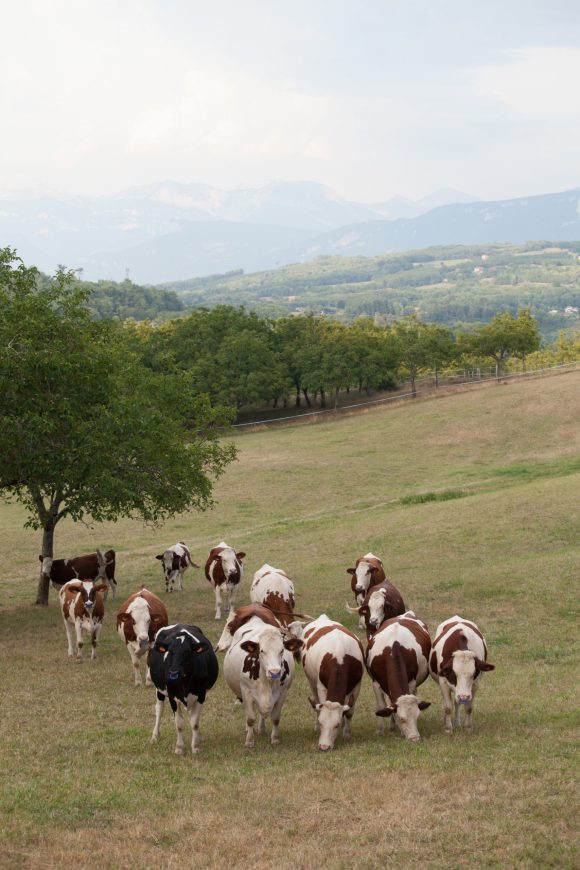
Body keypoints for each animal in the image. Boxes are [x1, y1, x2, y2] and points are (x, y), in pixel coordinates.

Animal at [148, 628, 219, 756]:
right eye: (170, 651)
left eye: (187, 652)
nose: (173, 672)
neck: (185, 682)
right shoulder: (172, 696)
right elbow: (179, 724)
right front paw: (179, 748)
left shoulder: (201, 695)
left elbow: (194, 722)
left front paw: (195, 746)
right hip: (159, 689)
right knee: (159, 709)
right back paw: (155, 736)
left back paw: (199, 736)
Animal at [222, 612, 304, 748]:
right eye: (261, 650)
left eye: (282, 650)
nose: (274, 672)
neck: (267, 683)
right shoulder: (246, 691)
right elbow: (250, 718)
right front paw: (249, 741)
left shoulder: (283, 693)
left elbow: (275, 718)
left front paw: (275, 738)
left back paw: (261, 728)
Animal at [302, 616, 364, 752]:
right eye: (321, 723)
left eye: (336, 725)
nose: (324, 747)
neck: (340, 657)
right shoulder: (321, 686)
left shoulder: (357, 686)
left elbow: (349, 712)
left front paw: (346, 734)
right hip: (311, 680)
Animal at [368, 612, 430, 744]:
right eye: (401, 718)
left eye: (417, 716)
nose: (414, 738)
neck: (393, 649)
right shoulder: (375, 683)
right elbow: (381, 705)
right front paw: (380, 731)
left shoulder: (411, 681)